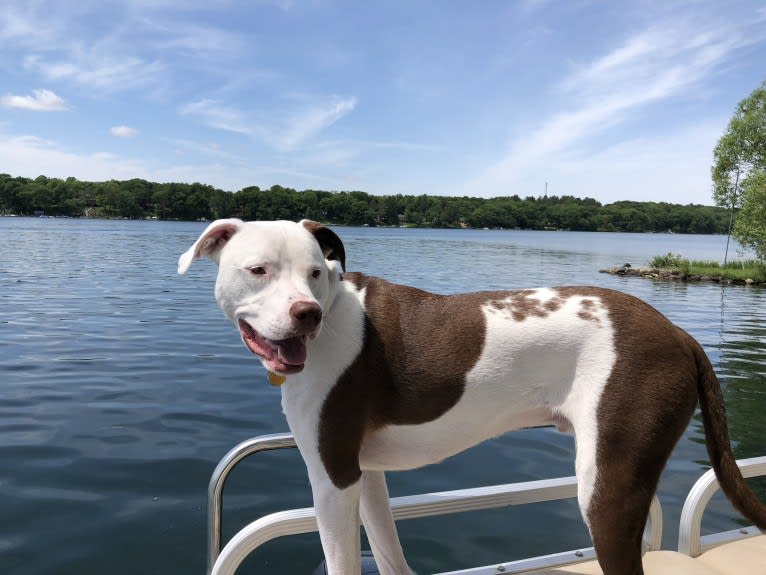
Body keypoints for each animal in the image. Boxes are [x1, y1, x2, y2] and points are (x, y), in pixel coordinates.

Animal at [182, 218, 766, 572]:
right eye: (258, 271)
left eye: (314, 272)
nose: (307, 313)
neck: (335, 314)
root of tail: (679, 334)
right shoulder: (364, 474)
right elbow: (388, 551)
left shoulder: (331, 476)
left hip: (609, 484)